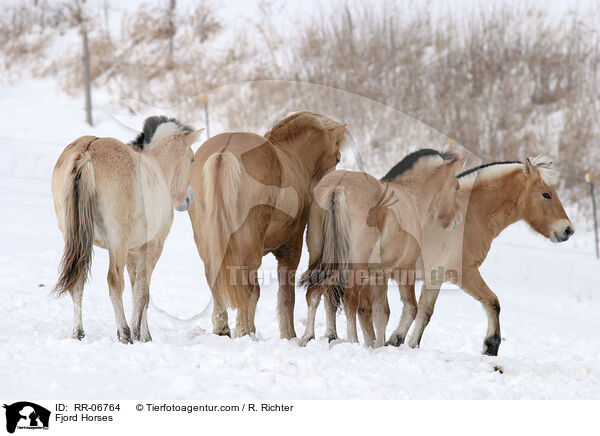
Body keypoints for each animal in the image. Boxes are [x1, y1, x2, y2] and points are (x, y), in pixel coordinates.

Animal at [52, 116, 202, 344]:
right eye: (191, 159)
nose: (188, 199)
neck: (156, 168)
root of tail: (88, 150)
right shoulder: (152, 247)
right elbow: (143, 292)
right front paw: (139, 333)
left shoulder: (134, 251)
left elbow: (137, 289)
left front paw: (143, 332)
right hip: (117, 241)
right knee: (114, 282)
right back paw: (124, 333)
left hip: (75, 239)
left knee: (77, 281)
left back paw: (78, 333)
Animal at [188, 110, 346, 338]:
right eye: (337, 157)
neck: (293, 158)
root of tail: (223, 154)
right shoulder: (291, 246)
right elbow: (286, 295)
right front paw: (289, 335)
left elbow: (257, 293)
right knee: (244, 287)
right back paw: (243, 332)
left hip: (212, 246)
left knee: (219, 282)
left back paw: (224, 329)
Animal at [298, 150, 464, 348]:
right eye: (456, 187)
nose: (457, 221)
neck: (410, 196)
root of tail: (338, 186)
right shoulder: (404, 270)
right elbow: (410, 308)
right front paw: (395, 338)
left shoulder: (378, 276)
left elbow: (380, 314)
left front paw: (377, 344)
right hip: (355, 268)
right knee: (350, 298)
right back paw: (352, 340)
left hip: (321, 258)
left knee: (315, 293)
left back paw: (310, 337)